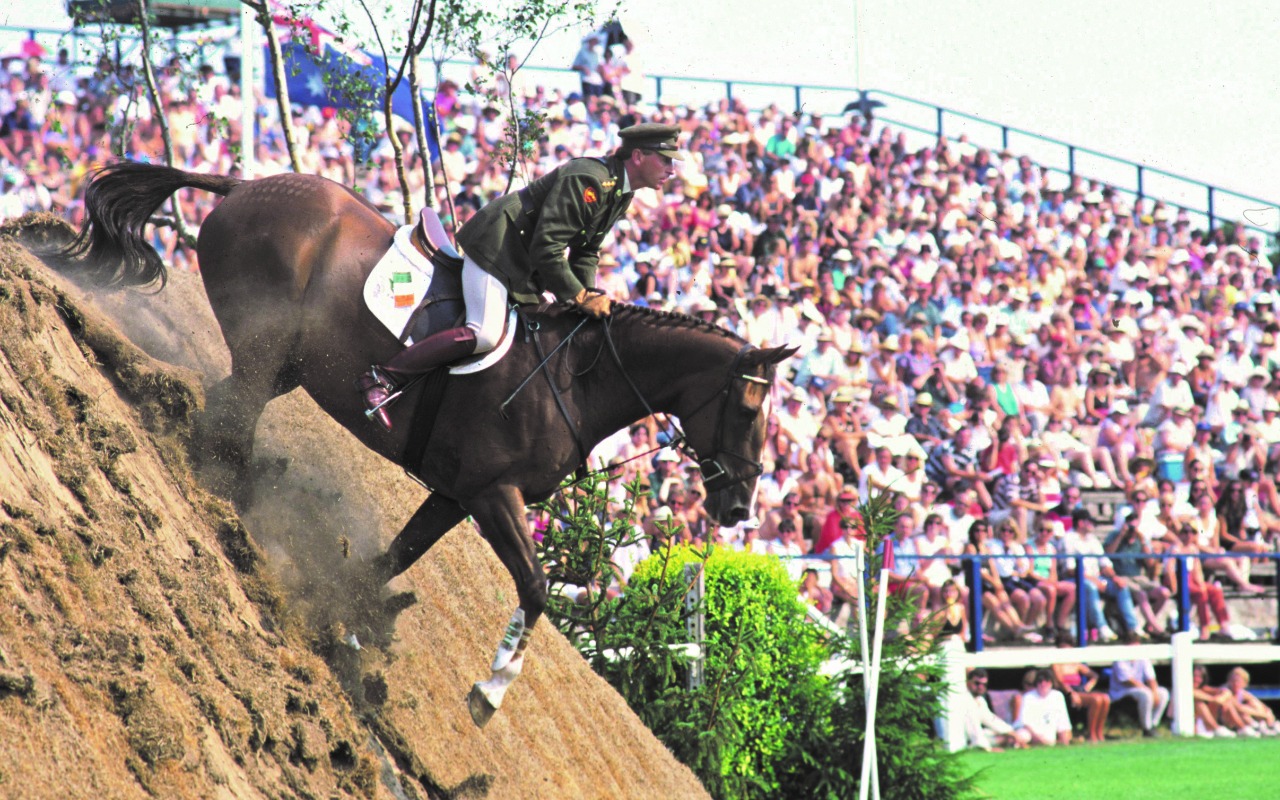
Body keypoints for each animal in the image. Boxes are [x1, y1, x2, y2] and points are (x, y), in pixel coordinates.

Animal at [62, 162, 798, 721]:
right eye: (747, 407)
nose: (738, 508)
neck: (574, 377)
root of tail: (247, 184)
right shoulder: (491, 494)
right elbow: (535, 587)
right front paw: (489, 692)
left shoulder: (453, 494)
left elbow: (394, 559)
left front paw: (349, 620)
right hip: (263, 348)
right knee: (233, 428)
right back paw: (235, 503)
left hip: (282, 367)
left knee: (225, 414)